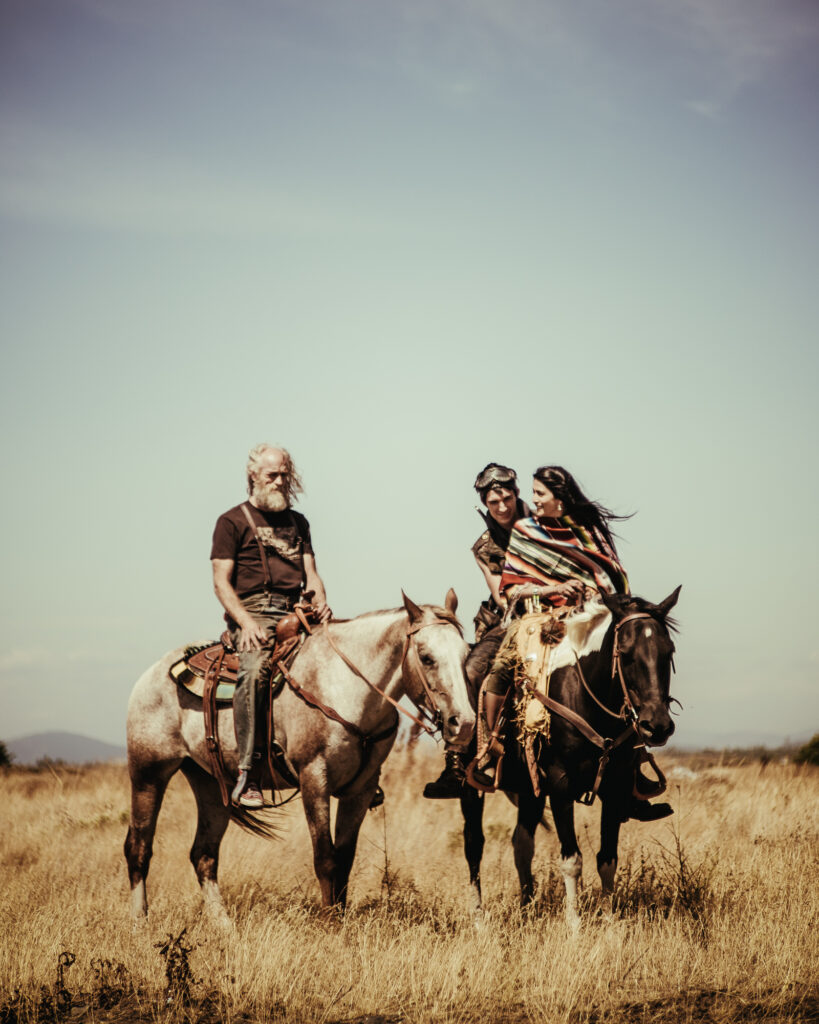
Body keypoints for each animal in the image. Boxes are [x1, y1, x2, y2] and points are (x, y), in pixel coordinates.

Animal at [123, 593, 470, 921]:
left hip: (209, 783)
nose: (463, 722)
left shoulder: (361, 790)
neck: (344, 687)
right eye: (426, 657)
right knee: (138, 847)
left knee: (204, 854)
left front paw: (341, 920)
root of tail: (154, 673)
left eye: (466, 654)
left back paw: (224, 927)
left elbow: (344, 860)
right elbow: (325, 859)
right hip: (148, 773)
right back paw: (140, 922)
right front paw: (330, 925)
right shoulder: (314, 778)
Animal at [460, 585, 679, 929]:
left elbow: (607, 858)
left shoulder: (614, 786)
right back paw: (479, 918)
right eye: (625, 653)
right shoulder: (560, 785)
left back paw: (528, 909)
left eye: (668, 652)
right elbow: (572, 859)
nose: (656, 726)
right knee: (474, 844)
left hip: (530, 789)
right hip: (471, 787)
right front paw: (574, 925)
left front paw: (610, 921)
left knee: (522, 844)